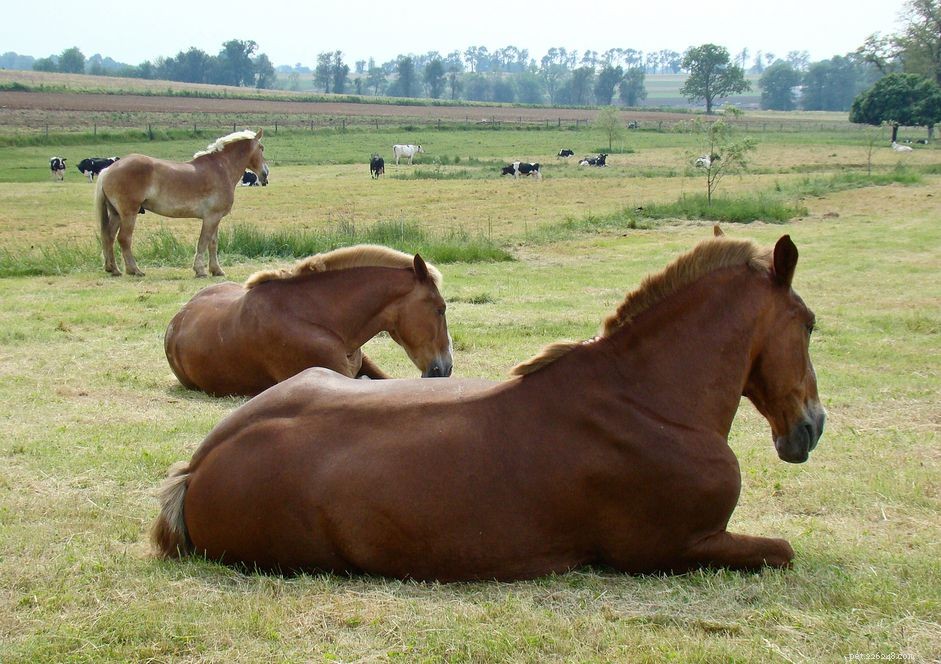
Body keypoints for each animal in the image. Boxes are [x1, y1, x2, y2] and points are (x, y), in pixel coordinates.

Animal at [95, 129, 268, 278]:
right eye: (262, 148)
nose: (265, 174)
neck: (221, 168)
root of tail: (109, 169)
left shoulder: (215, 218)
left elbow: (213, 243)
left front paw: (216, 270)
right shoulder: (211, 218)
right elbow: (203, 242)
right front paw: (200, 270)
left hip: (116, 214)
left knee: (109, 237)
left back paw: (113, 269)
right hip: (129, 213)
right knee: (124, 238)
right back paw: (134, 270)